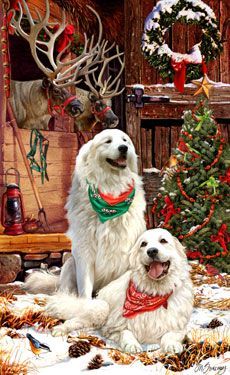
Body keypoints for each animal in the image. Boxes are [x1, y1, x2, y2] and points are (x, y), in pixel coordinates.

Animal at [24, 131, 146, 298]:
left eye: (125, 140)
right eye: (108, 141)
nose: (123, 148)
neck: (111, 194)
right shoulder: (85, 251)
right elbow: (85, 286)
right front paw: (85, 303)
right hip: (69, 264)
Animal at [45, 229, 193, 356]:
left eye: (163, 241)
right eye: (143, 244)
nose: (151, 251)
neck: (154, 293)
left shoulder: (179, 327)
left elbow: (170, 335)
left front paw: (172, 346)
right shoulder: (115, 327)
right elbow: (126, 332)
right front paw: (132, 345)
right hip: (101, 308)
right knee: (75, 320)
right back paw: (60, 329)